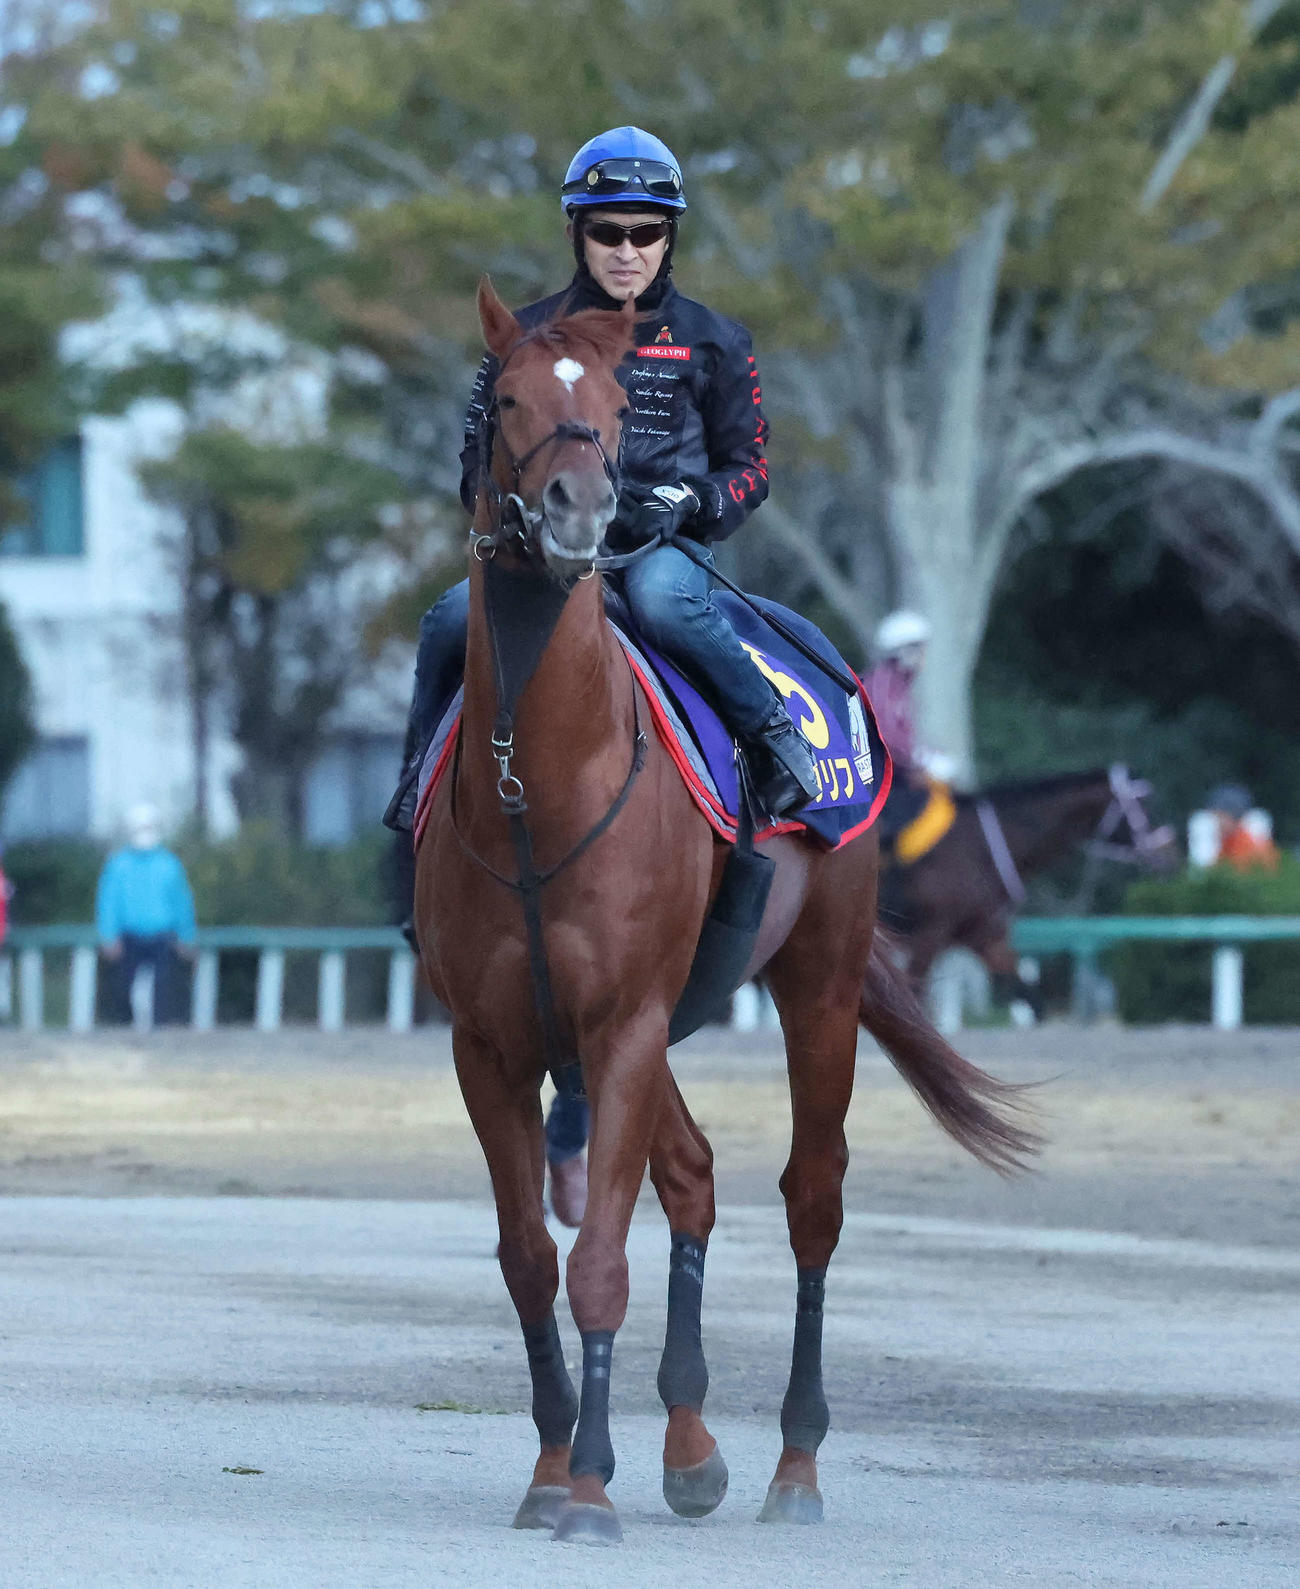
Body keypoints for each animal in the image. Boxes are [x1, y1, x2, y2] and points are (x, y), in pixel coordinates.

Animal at [413, 278, 1039, 1545]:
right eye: (505, 400)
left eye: (613, 404)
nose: (584, 509)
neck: (535, 783)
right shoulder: (493, 1041)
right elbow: (528, 1255)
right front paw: (555, 1463)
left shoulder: (624, 1023)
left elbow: (600, 1257)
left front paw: (588, 1486)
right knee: (693, 1173)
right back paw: (691, 1446)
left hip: (818, 979)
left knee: (812, 1197)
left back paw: (794, 1464)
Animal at [880, 767, 1177, 1016]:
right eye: (1143, 806)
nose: (1169, 854)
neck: (978, 847)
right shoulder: (929, 934)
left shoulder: (984, 937)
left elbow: (1031, 996)